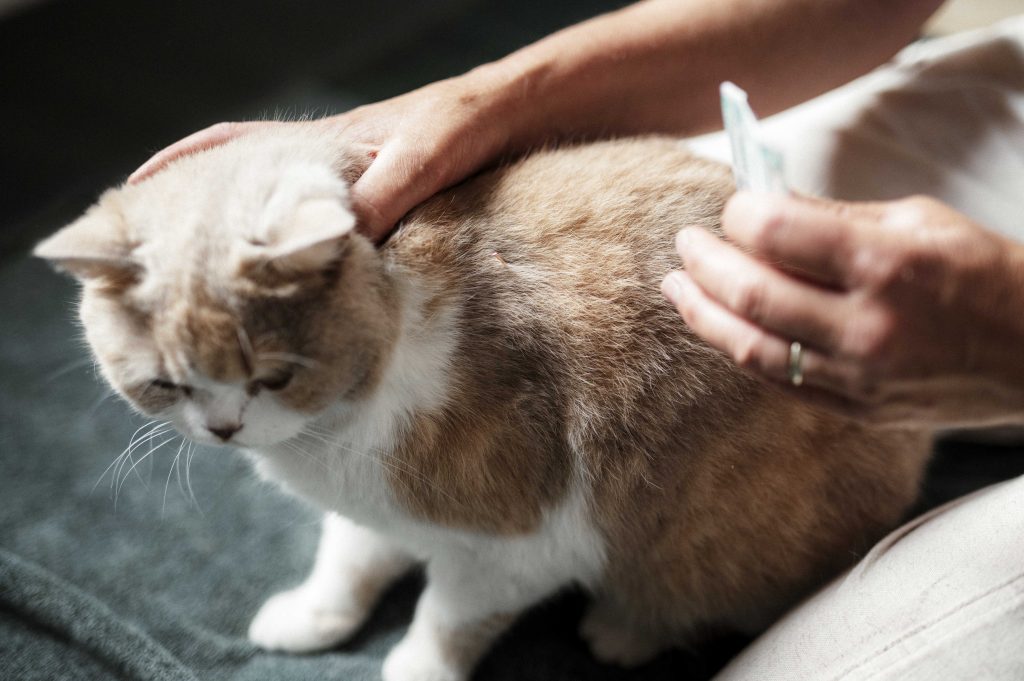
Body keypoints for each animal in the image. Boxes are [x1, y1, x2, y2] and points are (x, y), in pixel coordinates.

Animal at [36, 129, 933, 679]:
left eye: (274, 377)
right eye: (167, 383)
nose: (224, 427)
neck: (330, 436)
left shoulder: (516, 544)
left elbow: (447, 611)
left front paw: (412, 665)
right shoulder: (369, 503)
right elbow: (349, 556)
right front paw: (313, 617)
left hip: (709, 535)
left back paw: (622, 628)